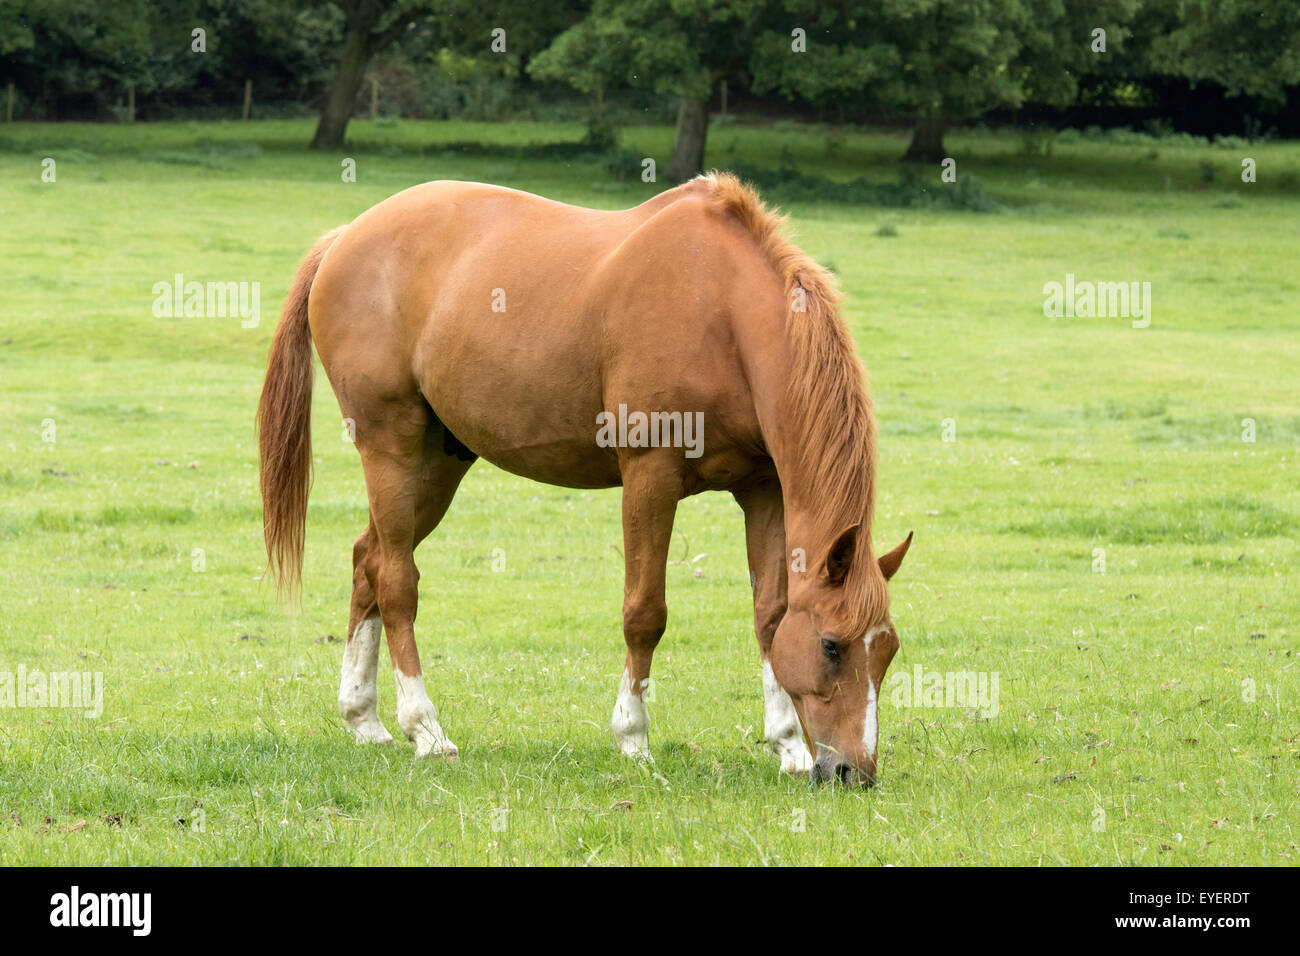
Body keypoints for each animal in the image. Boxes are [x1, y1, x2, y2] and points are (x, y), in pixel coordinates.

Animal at [257, 172, 912, 786]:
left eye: (888, 650)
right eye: (832, 645)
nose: (854, 771)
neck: (722, 312)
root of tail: (346, 238)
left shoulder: (764, 490)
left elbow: (770, 616)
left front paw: (788, 746)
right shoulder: (651, 476)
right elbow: (645, 612)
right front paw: (634, 737)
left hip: (437, 462)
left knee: (367, 558)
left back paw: (363, 718)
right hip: (389, 445)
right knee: (396, 580)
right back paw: (425, 729)